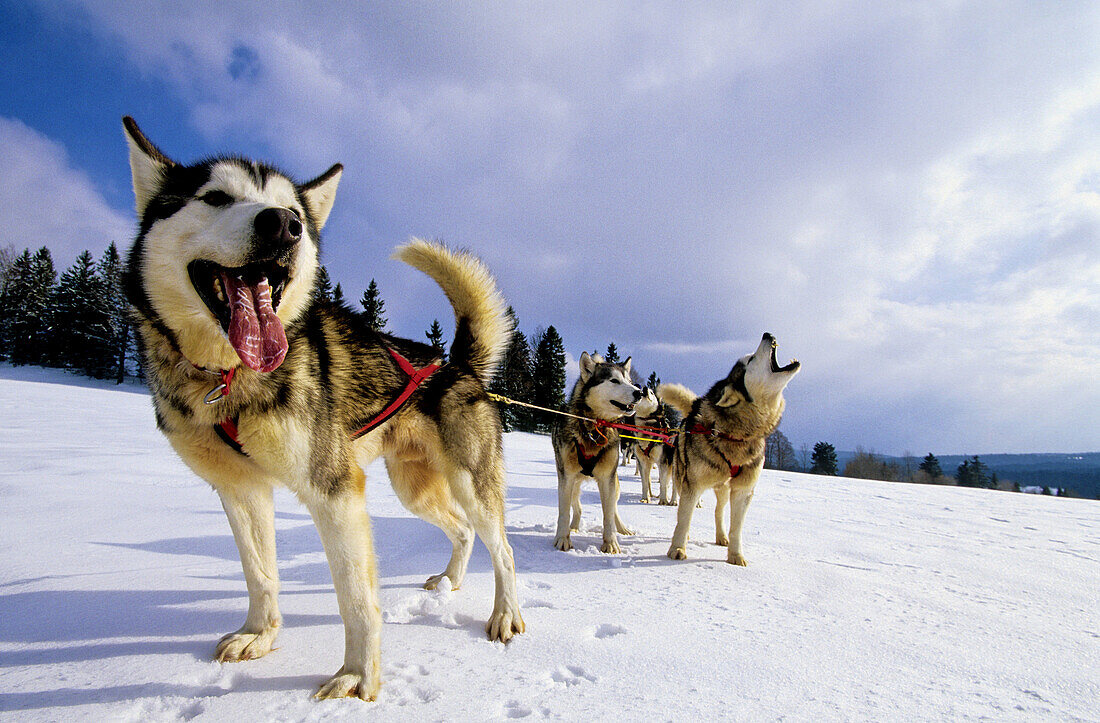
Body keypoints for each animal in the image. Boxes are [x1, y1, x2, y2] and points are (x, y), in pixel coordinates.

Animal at [122, 118, 525, 699]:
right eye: (216, 197)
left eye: (293, 210)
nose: (283, 225)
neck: (230, 378)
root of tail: (457, 366)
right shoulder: (240, 491)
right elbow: (260, 573)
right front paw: (260, 635)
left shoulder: (334, 493)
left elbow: (356, 598)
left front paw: (357, 677)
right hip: (414, 488)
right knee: (462, 530)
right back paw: (449, 582)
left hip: (471, 482)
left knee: (503, 549)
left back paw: (505, 615)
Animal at [550, 352, 642, 550]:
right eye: (614, 380)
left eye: (630, 381)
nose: (639, 392)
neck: (594, 428)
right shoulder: (566, 478)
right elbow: (564, 512)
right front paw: (562, 539)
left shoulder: (607, 479)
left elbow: (608, 516)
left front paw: (611, 543)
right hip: (573, 483)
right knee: (577, 507)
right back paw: (574, 527)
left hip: (614, 484)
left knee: (613, 509)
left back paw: (622, 529)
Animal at [651, 332, 800, 563]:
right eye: (751, 359)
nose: (768, 334)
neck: (736, 436)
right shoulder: (692, 485)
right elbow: (684, 519)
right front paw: (677, 548)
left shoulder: (743, 490)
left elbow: (736, 528)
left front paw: (735, 556)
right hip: (683, 476)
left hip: (723, 488)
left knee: (718, 512)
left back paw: (721, 537)